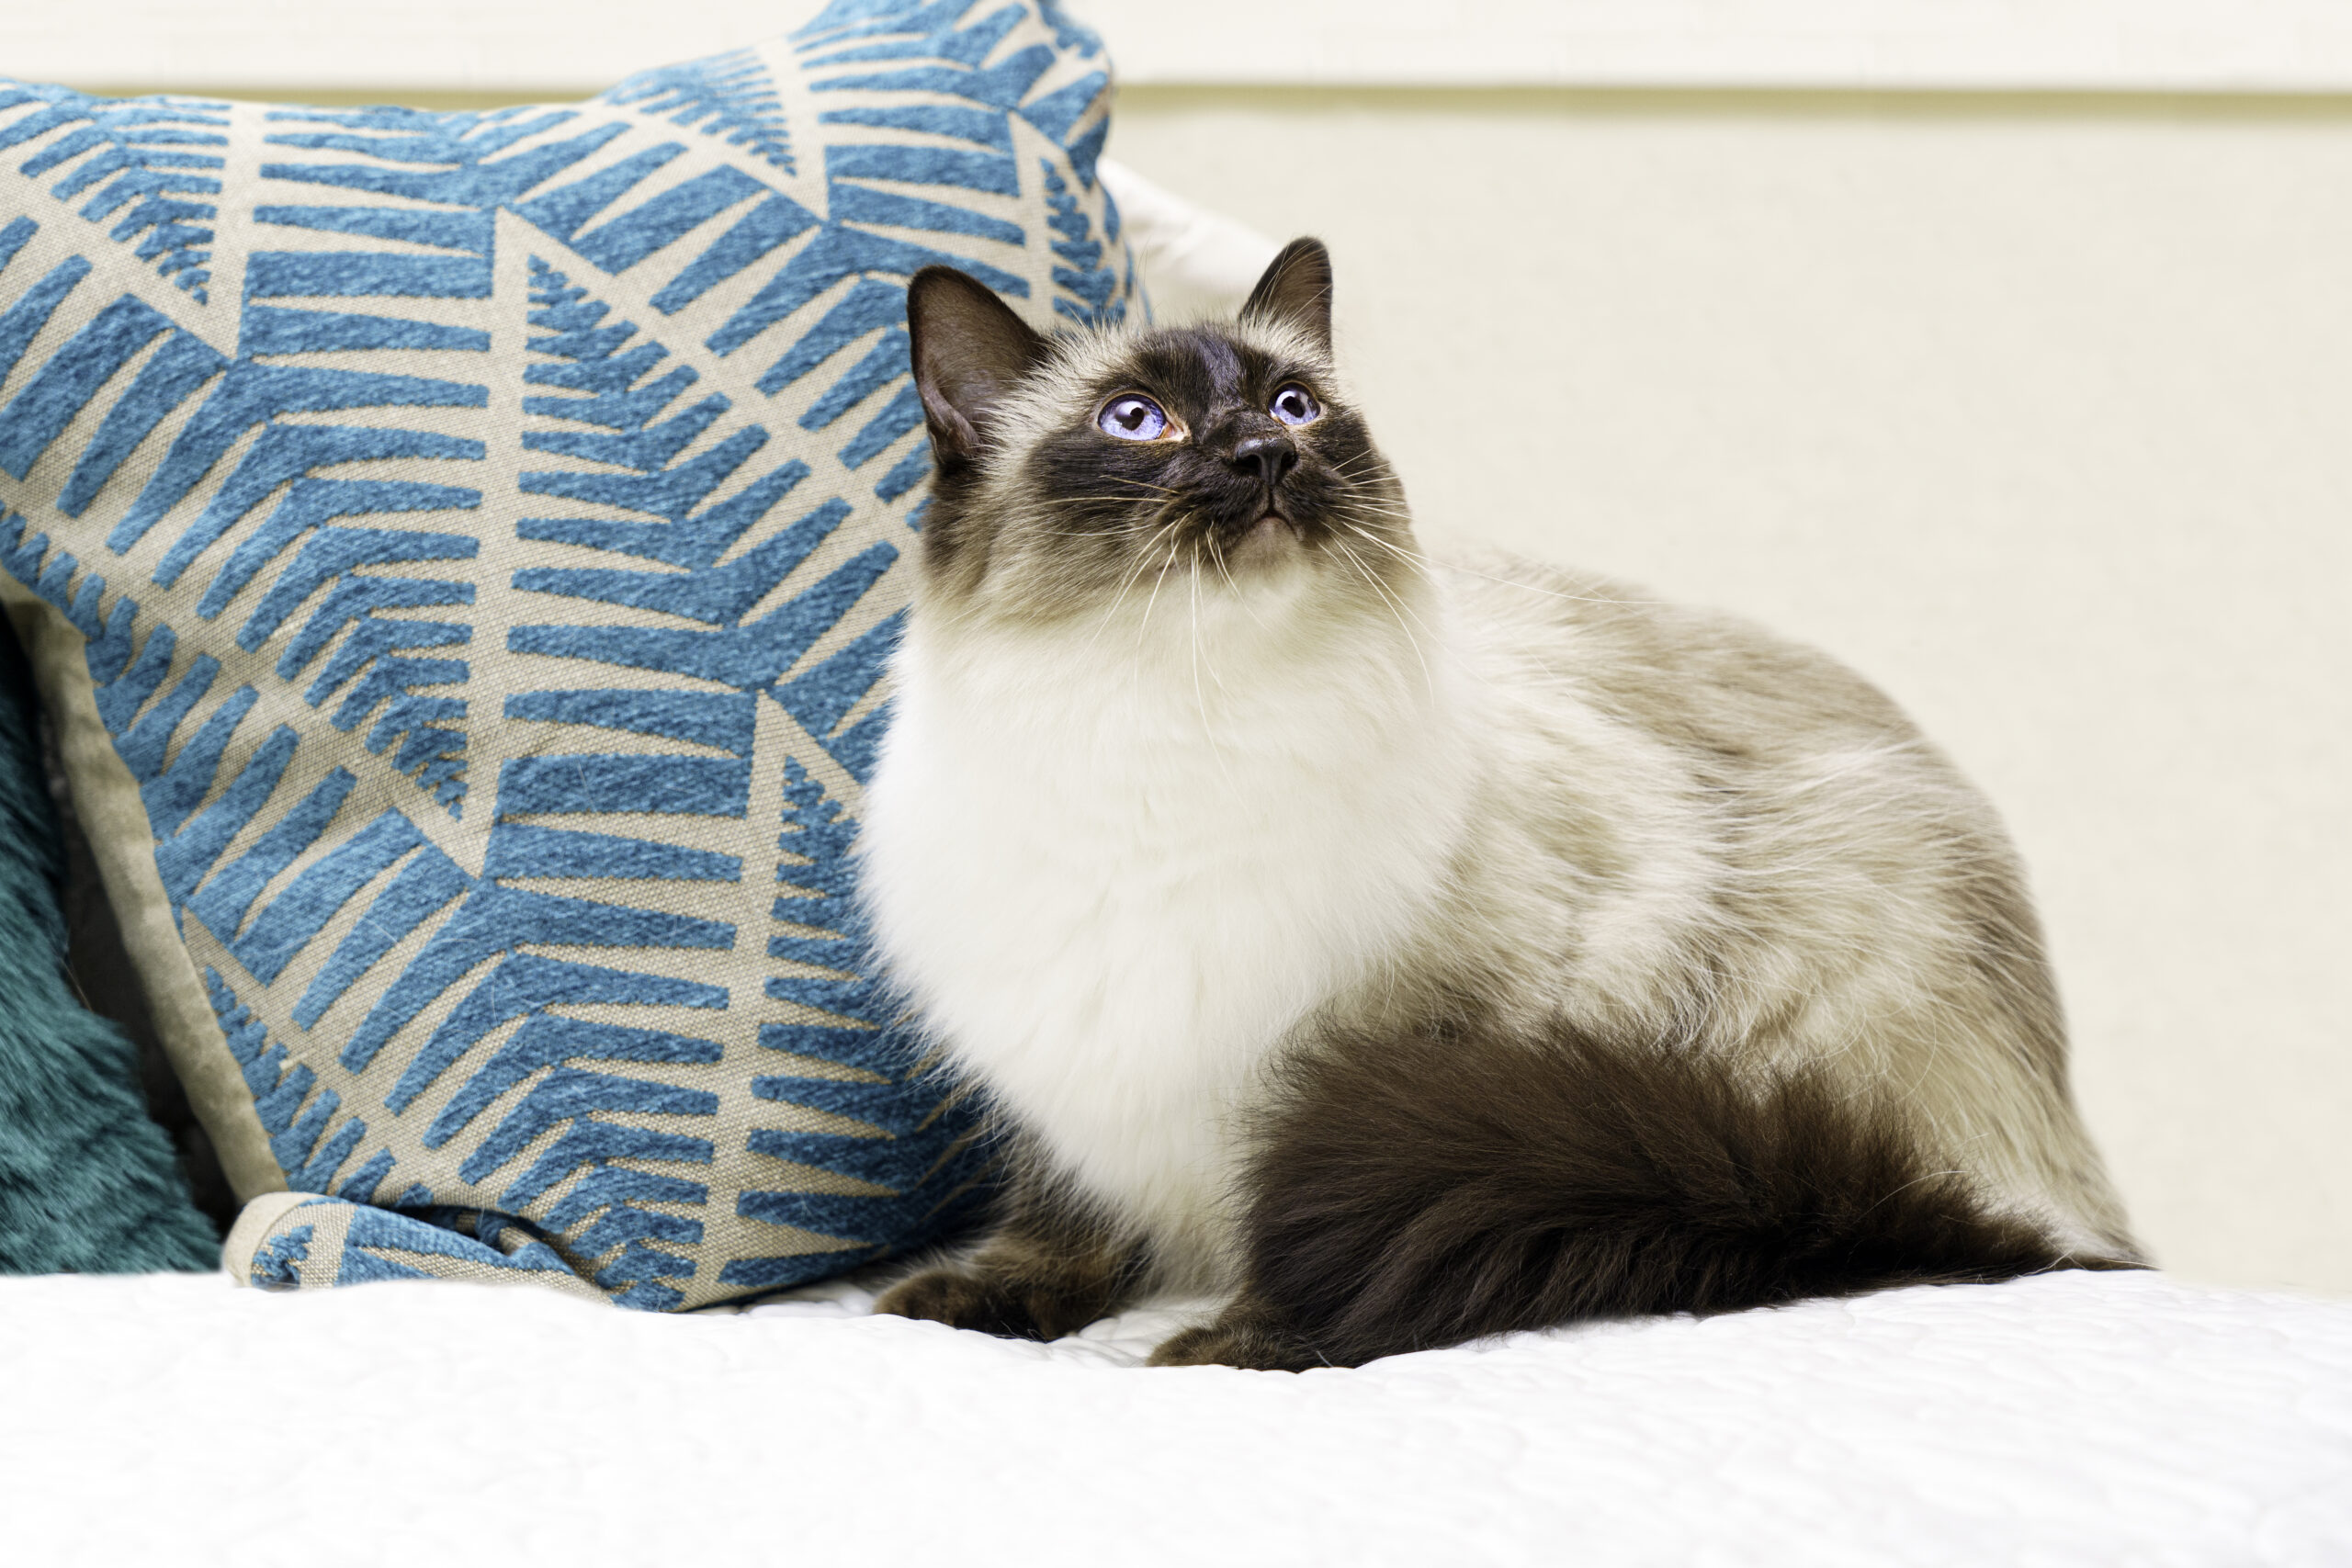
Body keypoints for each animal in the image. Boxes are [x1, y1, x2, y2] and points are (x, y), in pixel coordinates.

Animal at [855, 240, 2144, 1363]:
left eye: (1294, 407)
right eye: (1137, 421)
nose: (1263, 457)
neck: (1179, 717)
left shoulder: (1406, 1048)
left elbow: (1308, 1224)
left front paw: (1244, 1343)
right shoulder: (1062, 1075)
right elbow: (1055, 1215)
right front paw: (969, 1302)